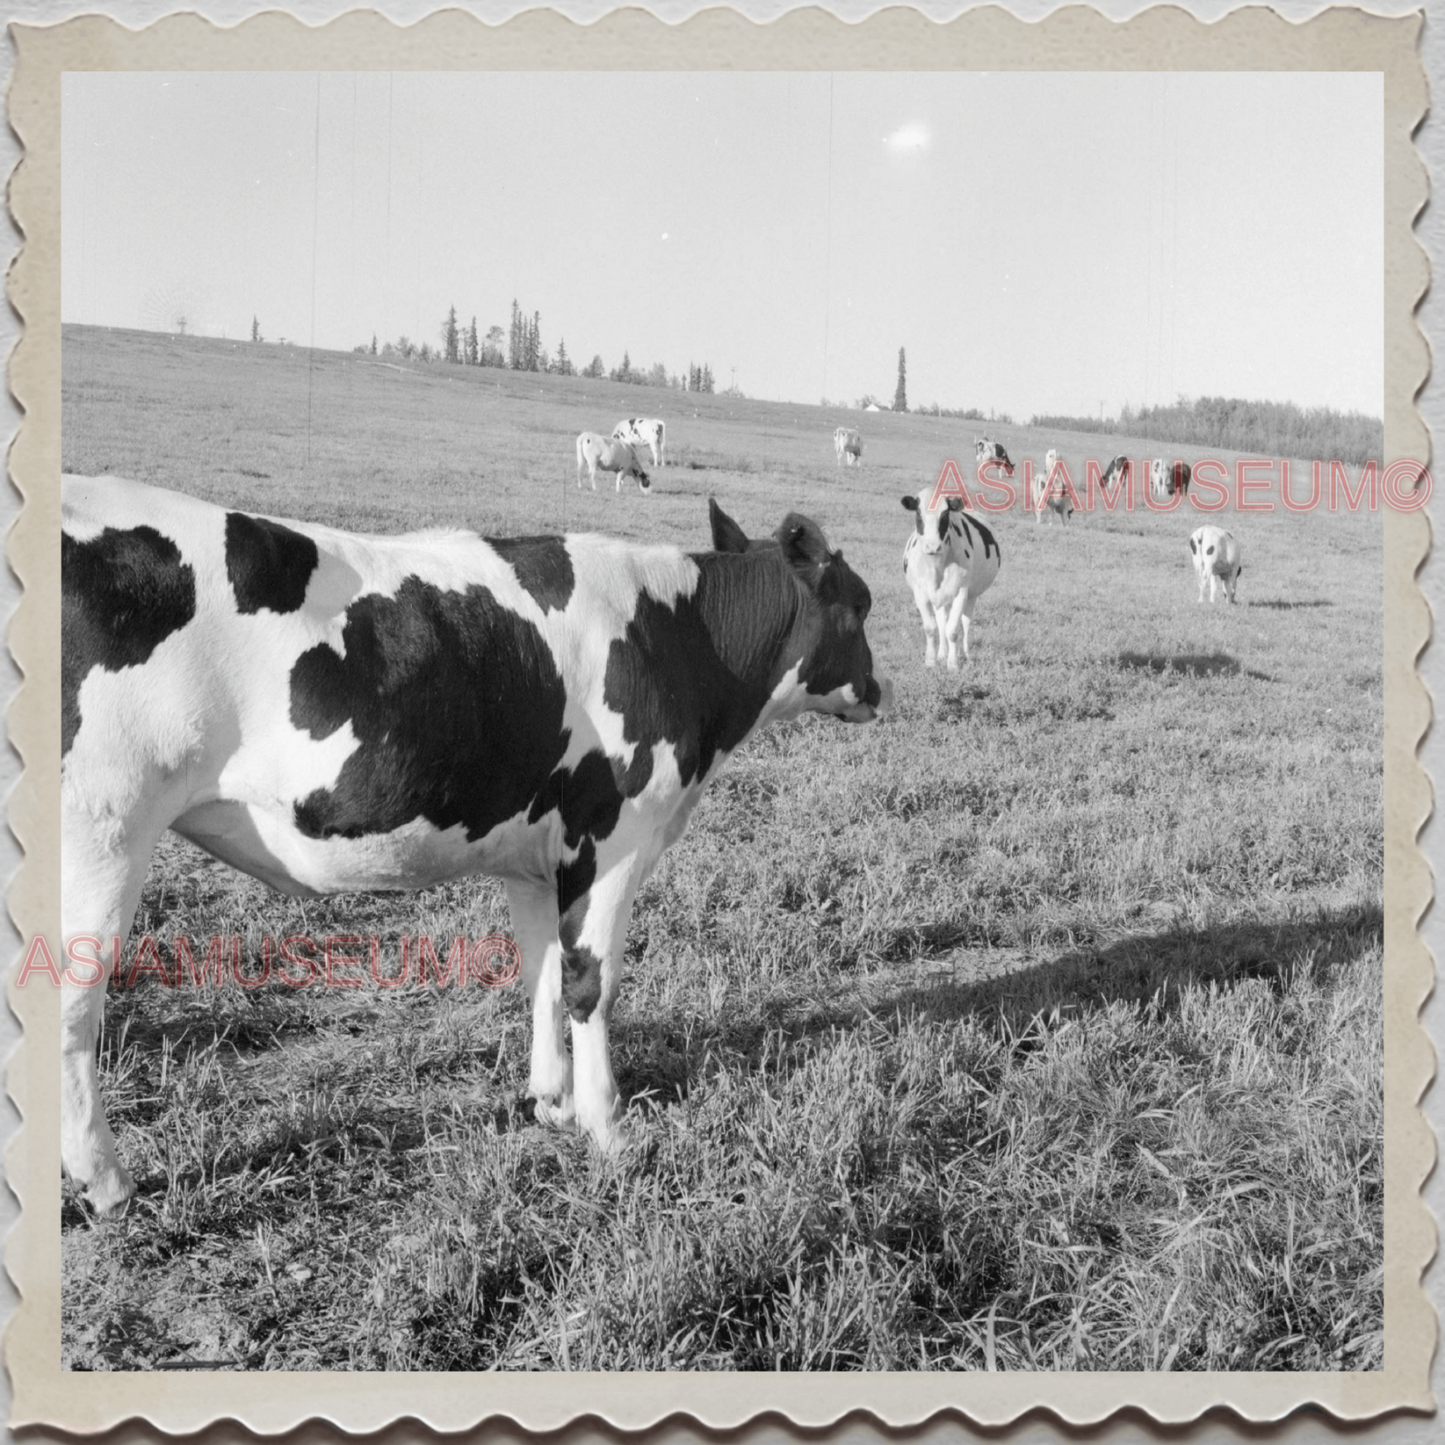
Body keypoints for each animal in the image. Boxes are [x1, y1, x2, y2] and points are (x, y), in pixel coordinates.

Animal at [59, 479, 890, 1213]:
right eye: (859, 604)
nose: (880, 692)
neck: (680, 638)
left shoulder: (536, 857)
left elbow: (543, 975)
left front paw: (551, 1100)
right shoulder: (614, 838)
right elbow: (589, 981)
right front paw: (607, 1126)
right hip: (104, 827)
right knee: (70, 1006)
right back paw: (105, 1182)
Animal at [895, 482, 999, 667]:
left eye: (944, 514)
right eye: (918, 513)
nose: (932, 546)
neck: (936, 567)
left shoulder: (962, 591)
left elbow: (953, 630)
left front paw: (953, 663)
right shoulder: (920, 593)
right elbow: (931, 627)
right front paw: (931, 660)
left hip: (972, 594)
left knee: (965, 623)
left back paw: (965, 655)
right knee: (942, 621)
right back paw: (942, 653)